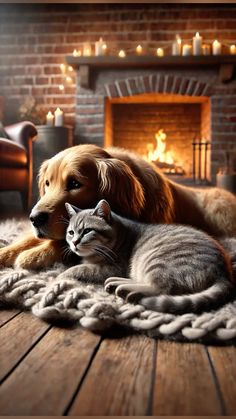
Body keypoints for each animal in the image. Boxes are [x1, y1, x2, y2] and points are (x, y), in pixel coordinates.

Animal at [1, 144, 236, 270]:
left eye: (75, 184)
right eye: (48, 184)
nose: (35, 218)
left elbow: (64, 243)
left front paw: (31, 255)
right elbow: (27, 239)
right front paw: (7, 251)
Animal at [62, 199, 234, 314]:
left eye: (87, 231)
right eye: (71, 232)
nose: (74, 242)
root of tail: (223, 273)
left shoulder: (112, 267)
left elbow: (80, 269)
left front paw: (62, 275)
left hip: (156, 260)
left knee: (162, 288)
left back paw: (125, 288)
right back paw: (117, 283)